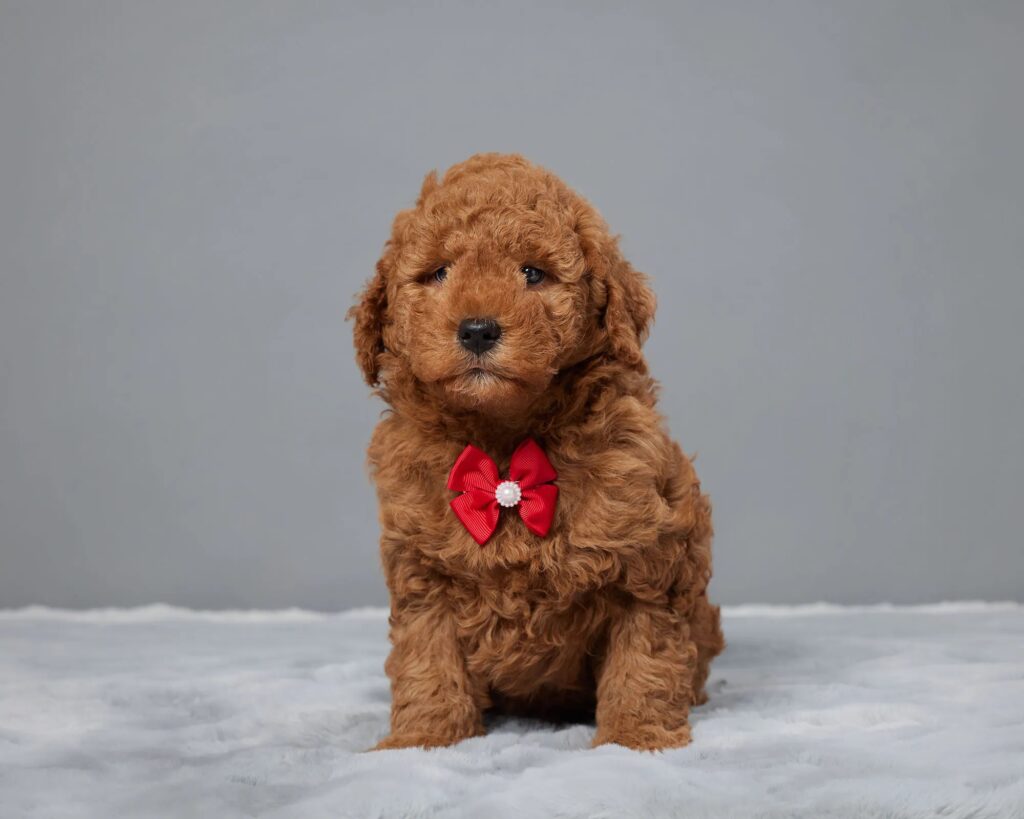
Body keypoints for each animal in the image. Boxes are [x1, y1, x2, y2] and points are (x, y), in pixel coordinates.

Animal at [352, 151, 729, 749]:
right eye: (439, 273)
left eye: (532, 273)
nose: (477, 330)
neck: (505, 445)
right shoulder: (423, 570)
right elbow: (428, 659)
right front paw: (425, 738)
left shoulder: (648, 561)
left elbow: (644, 659)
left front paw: (636, 739)